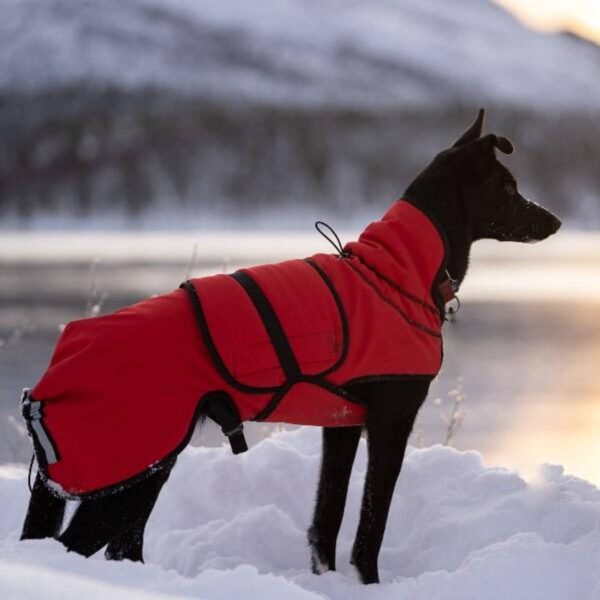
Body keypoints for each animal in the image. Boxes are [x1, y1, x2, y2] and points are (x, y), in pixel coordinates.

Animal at [19, 110, 564, 584]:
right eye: (509, 188)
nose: (556, 221)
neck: (398, 270)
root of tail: (46, 382)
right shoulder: (392, 418)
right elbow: (370, 527)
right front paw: (369, 583)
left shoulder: (342, 424)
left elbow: (327, 517)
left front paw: (327, 581)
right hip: (127, 476)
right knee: (73, 548)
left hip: (149, 470)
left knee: (119, 547)